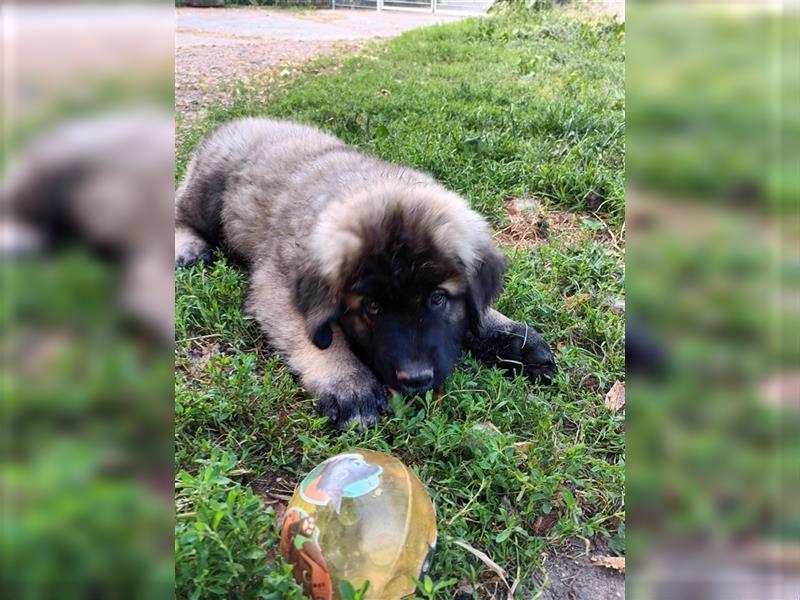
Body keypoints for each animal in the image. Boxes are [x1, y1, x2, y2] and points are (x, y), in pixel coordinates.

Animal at [175, 118, 552, 426]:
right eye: (371, 308)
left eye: (437, 298)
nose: (416, 380)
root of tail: (240, 121)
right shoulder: (276, 284)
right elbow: (317, 336)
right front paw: (348, 383)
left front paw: (510, 335)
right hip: (208, 188)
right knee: (181, 212)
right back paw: (187, 247)